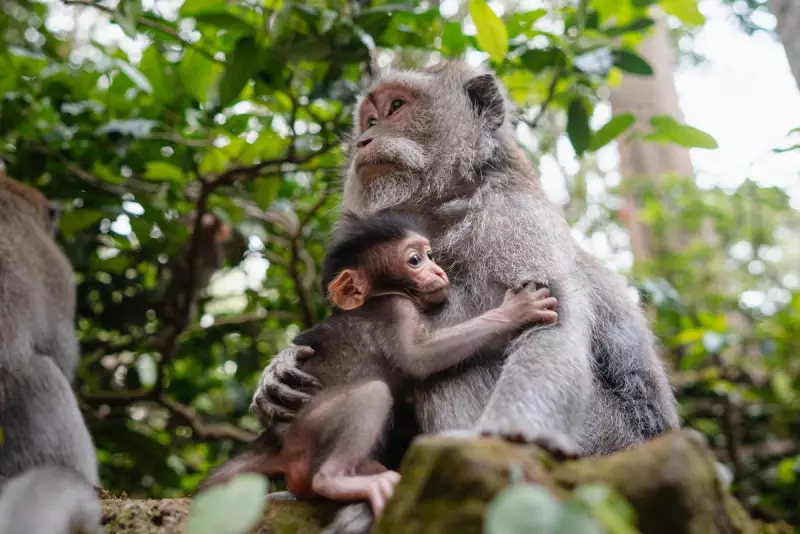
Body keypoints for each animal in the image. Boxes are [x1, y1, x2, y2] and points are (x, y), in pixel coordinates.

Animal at [197, 209, 558, 517]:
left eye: (430, 255)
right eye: (415, 260)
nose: (438, 270)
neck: (383, 294)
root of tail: (273, 439)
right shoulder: (397, 309)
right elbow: (418, 358)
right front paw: (515, 311)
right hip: (307, 429)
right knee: (371, 396)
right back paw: (341, 479)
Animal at [249, 60, 681, 533]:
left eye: (396, 107)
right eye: (369, 119)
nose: (363, 140)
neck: (447, 206)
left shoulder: (513, 217)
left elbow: (551, 328)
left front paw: (509, 437)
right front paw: (280, 371)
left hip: (601, 444)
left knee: (451, 362)